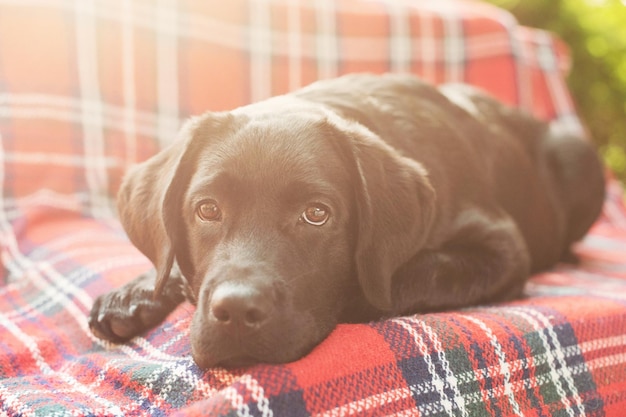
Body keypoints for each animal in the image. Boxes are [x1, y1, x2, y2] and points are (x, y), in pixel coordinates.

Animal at [89, 73, 604, 366]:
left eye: (316, 214)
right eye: (207, 209)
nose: (235, 311)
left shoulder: (501, 246)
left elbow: (418, 272)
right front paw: (135, 294)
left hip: (580, 157)